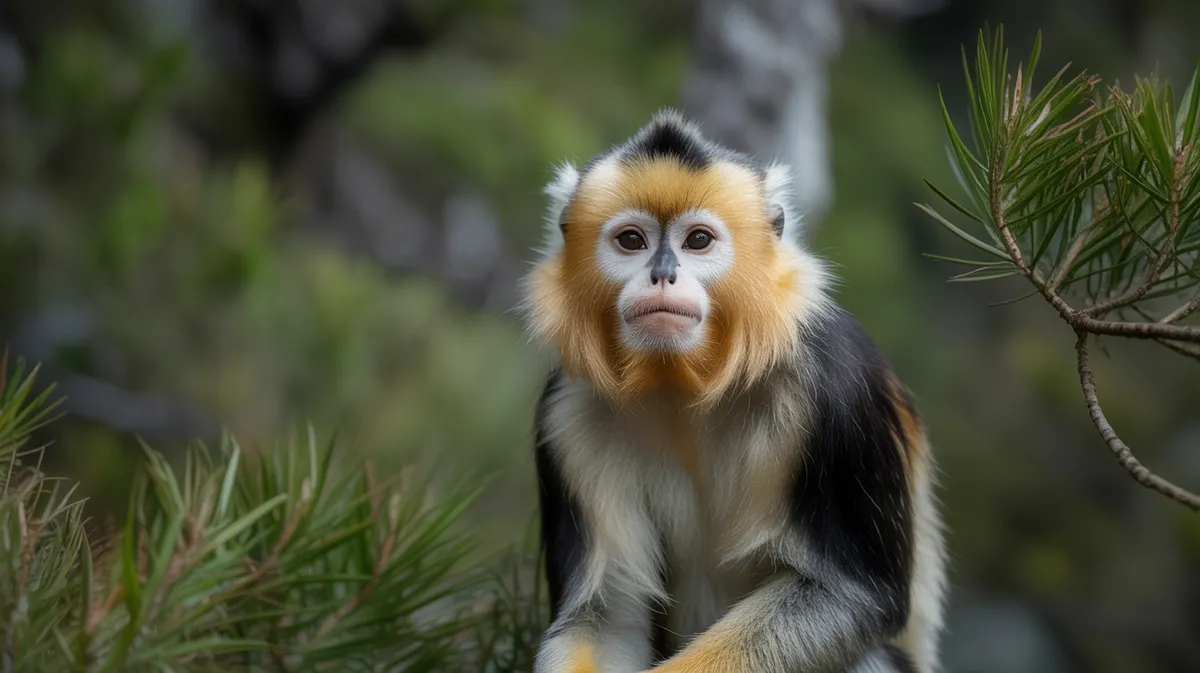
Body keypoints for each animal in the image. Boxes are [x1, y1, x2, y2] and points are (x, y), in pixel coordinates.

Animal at [521, 109, 947, 673]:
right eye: (631, 241)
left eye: (698, 241)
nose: (662, 274)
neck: (684, 383)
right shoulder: (565, 413)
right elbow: (606, 613)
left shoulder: (839, 385)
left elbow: (854, 595)